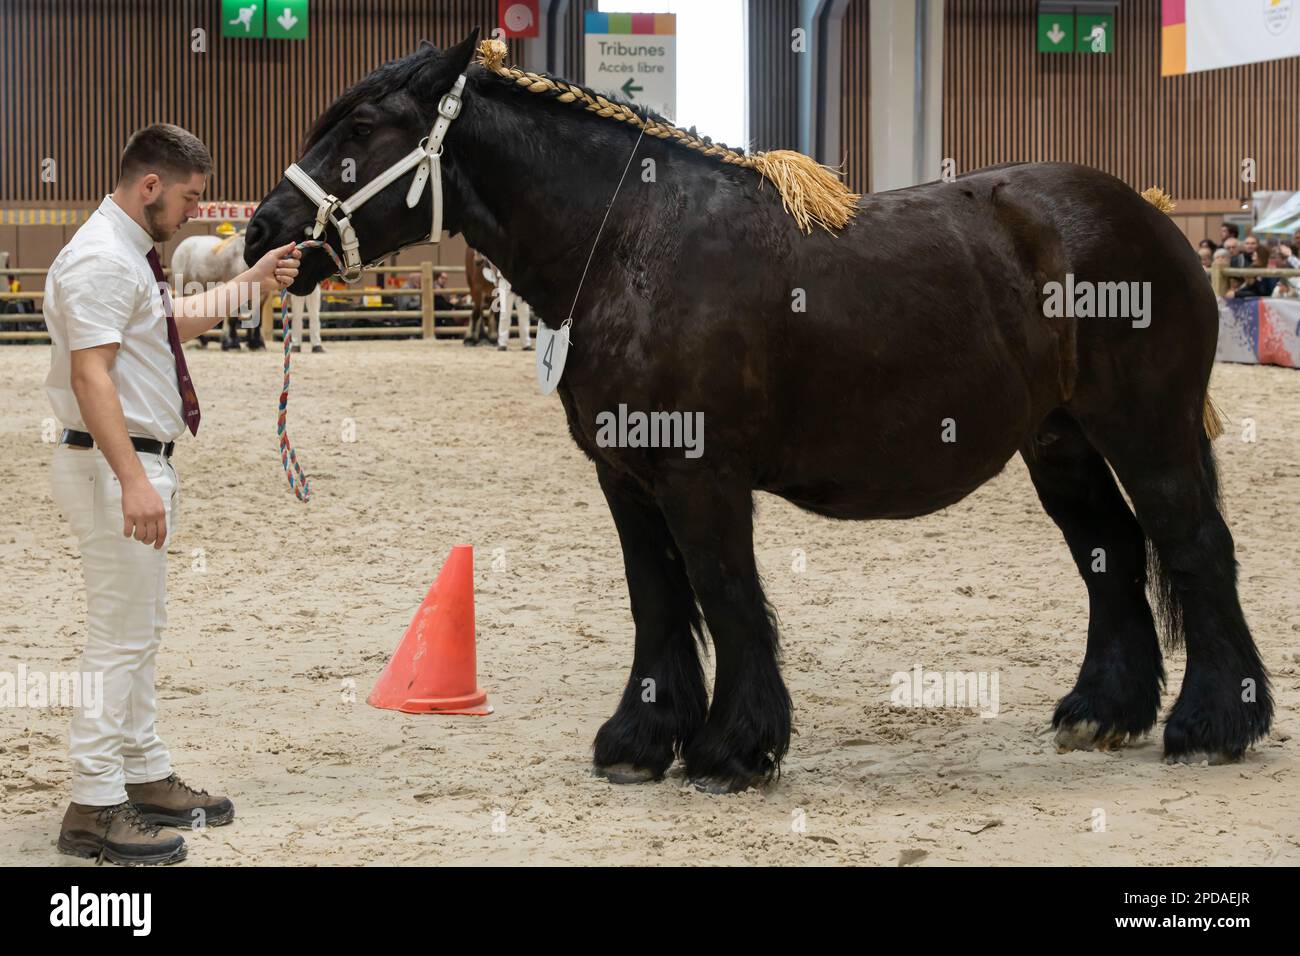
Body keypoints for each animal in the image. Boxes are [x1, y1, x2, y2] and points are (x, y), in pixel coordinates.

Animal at [244, 31, 1268, 790]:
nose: (260, 232)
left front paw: (735, 747)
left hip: (1147, 431)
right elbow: (657, 600)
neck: (630, 243)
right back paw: (1104, 711)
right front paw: (640, 741)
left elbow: (725, 594)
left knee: (1193, 547)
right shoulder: (626, 477)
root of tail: (1152, 216)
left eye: (361, 126)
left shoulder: (702, 476)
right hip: (1060, 444)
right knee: (1114, 555)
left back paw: (1215, 723)